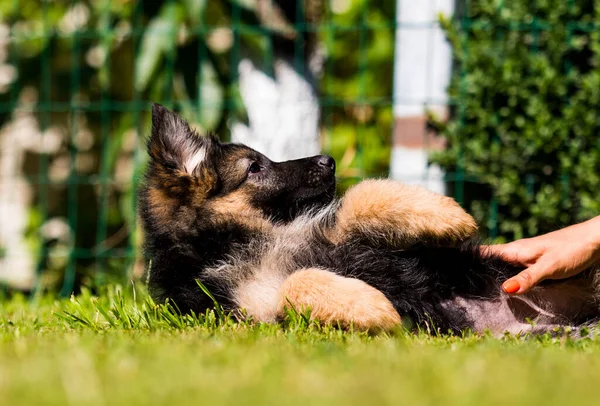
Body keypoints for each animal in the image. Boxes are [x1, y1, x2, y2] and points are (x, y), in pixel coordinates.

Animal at [137, 104, 600, 336]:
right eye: (254, 168)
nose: (329, 160)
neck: (238, 239)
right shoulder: (249, 310)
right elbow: (295, 282)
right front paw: (374, 308)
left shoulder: (332, 232)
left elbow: (361, 198)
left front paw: (449, 215)